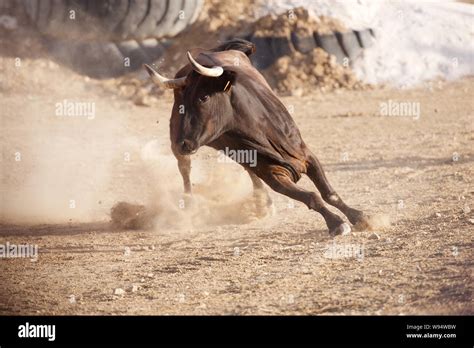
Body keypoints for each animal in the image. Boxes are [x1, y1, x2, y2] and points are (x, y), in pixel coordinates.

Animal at [143, 38, 372, 237]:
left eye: (204, 97)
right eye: (181, 99)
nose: (183, 143)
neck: (260, 129)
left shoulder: (306, 155)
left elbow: (328, 193)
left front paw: (358, 216)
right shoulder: (273, 175)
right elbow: (312, 197)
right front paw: (337, 224)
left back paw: (263, 203)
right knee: (185, 169)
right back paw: (191, 205)